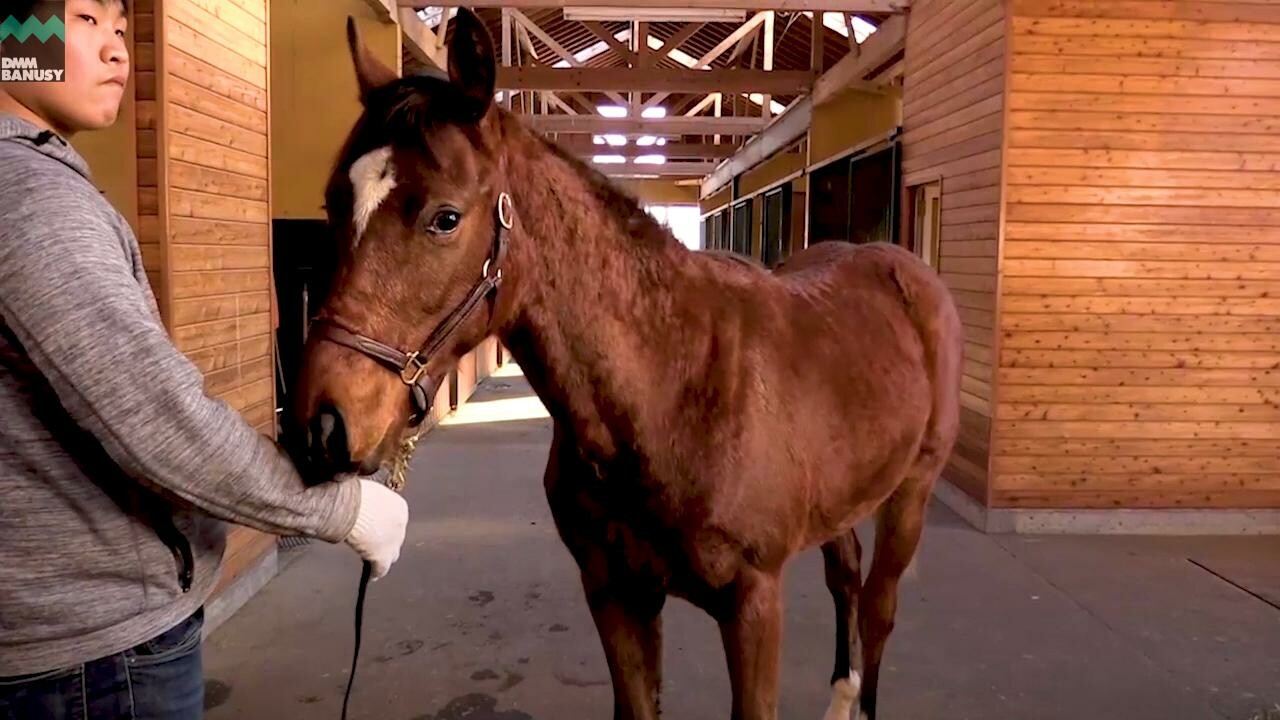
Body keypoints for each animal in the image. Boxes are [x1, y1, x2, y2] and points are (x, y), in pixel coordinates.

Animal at [293, 11, 962, 717]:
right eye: (333, 203)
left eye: (445, 217)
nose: (322, 426)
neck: (672, 390)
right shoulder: (615, 594)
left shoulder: (754, 607)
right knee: (845, 572)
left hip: (911, 492)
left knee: (878, 606)